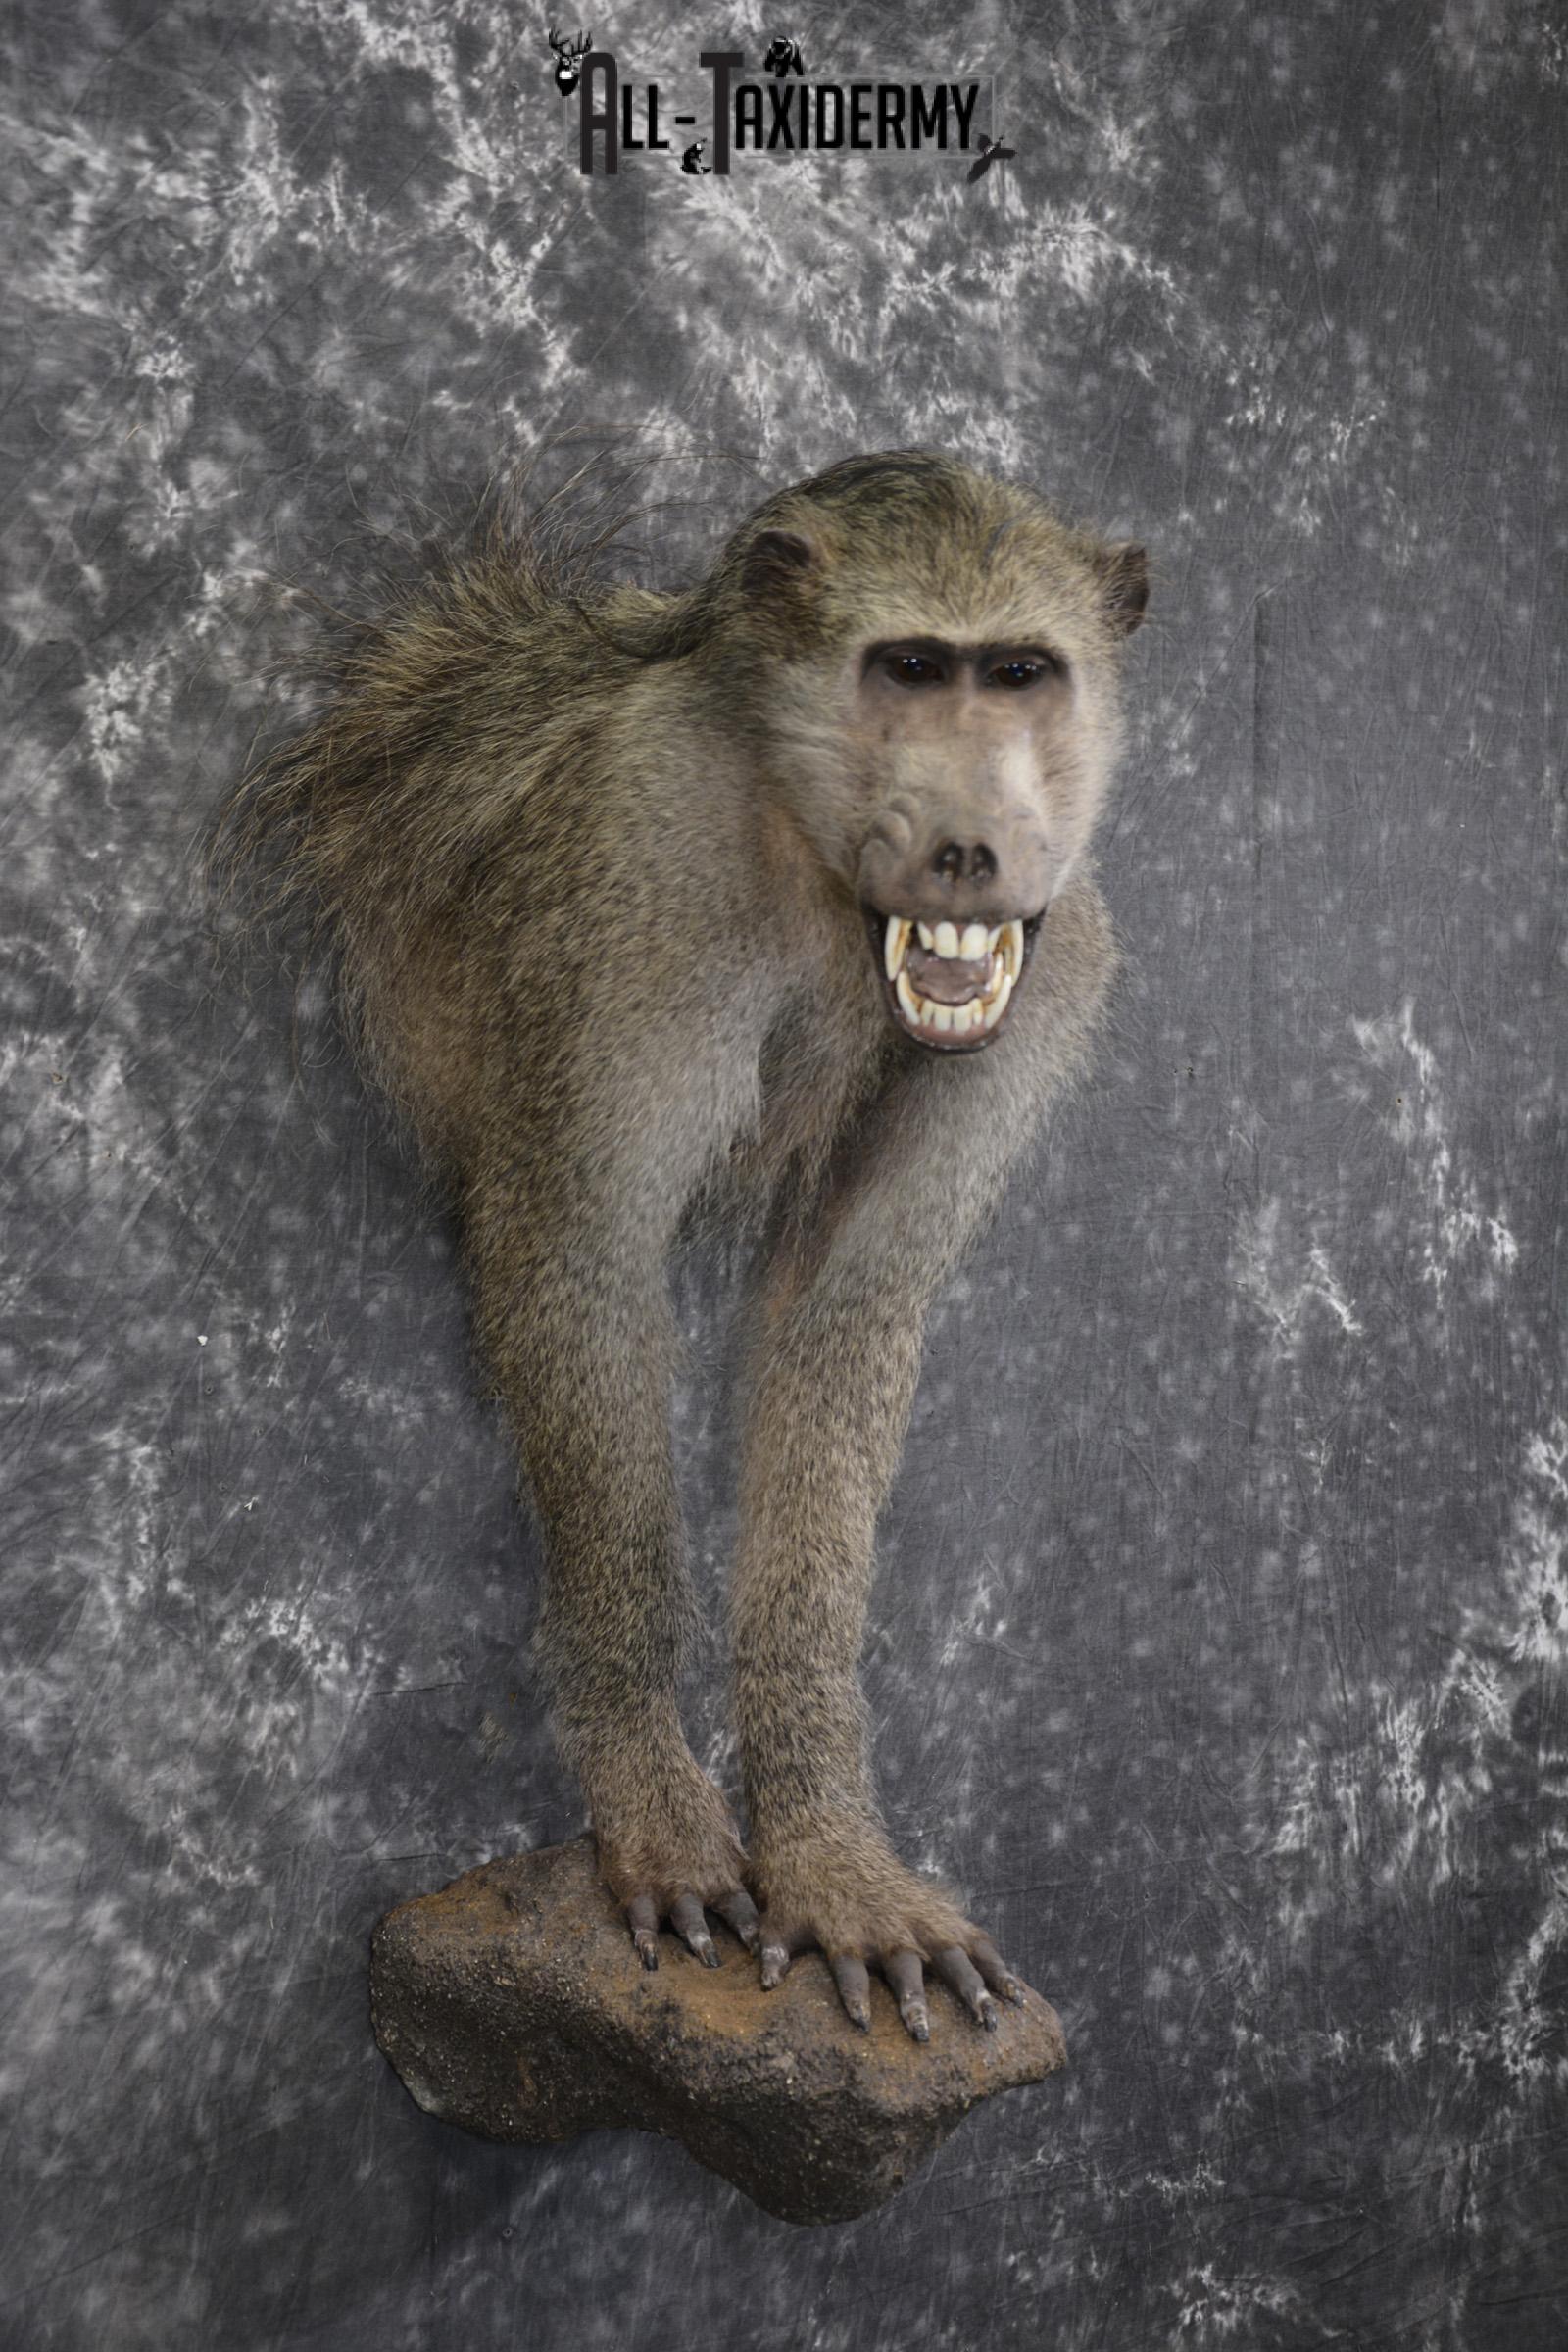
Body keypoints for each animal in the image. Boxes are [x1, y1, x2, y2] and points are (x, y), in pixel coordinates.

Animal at [214, 450, 1146, 2044]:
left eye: (1022, 674)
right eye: (911, 669)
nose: (972, 847)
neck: (808, 849)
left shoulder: (1057, 942)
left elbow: (839, 1318)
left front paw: (828, 1852)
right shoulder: (643, 862)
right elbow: (581, 1257)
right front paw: (651, 1799)